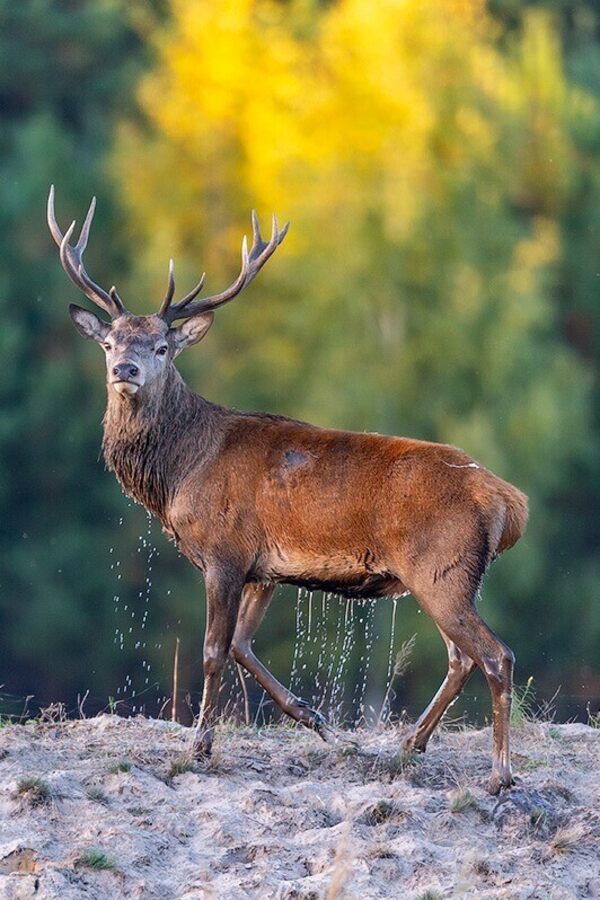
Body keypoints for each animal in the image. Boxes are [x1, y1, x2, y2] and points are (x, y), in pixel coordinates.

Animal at [47, 186, 528, 792]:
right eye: (109, 342)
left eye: (162, 347)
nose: (125, 371)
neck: (179, 472)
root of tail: (509, 501)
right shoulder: (266, 569)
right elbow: (242, 645)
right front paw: (314, 719)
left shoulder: (224, 551)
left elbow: (213, 650)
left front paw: (198, 749)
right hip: (454, 575)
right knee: (461, 658)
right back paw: (407, 746)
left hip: (440, 567)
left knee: (496, 655)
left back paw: (499, 773)